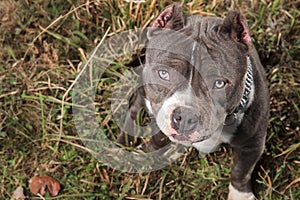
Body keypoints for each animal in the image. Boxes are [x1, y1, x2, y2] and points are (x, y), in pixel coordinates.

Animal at [116, 3, 270, 200]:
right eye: (163, 74)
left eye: (219, 83)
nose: (186, 116)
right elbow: (157, 136)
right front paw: (150, 153)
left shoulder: (251, 144)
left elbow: (240, 171)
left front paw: (240, 195)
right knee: (135, 109)